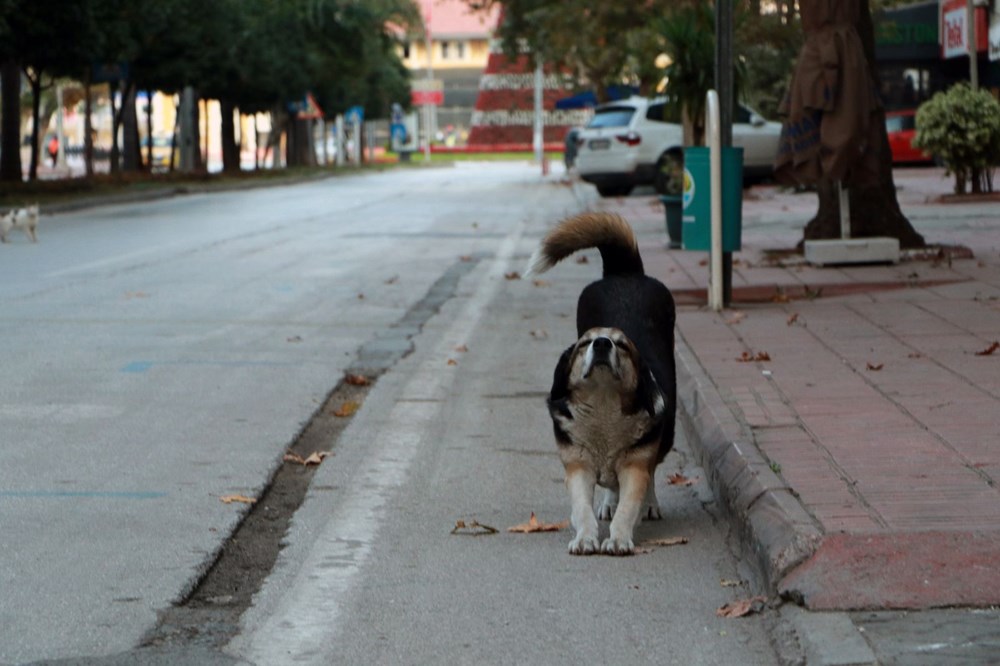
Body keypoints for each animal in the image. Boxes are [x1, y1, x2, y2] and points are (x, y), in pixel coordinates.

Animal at [528, 213, 676, 556]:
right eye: (585, 343)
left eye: (622, 345)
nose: (603, 343)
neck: (604, 406)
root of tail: (625, 271)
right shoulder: (578, 467)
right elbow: (582, 508)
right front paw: (585, 537)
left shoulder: (635, 464)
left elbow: (631, 501)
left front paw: (619, 537)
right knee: (611, 486)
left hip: (664, 435)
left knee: (651, 469)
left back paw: (649, 504)